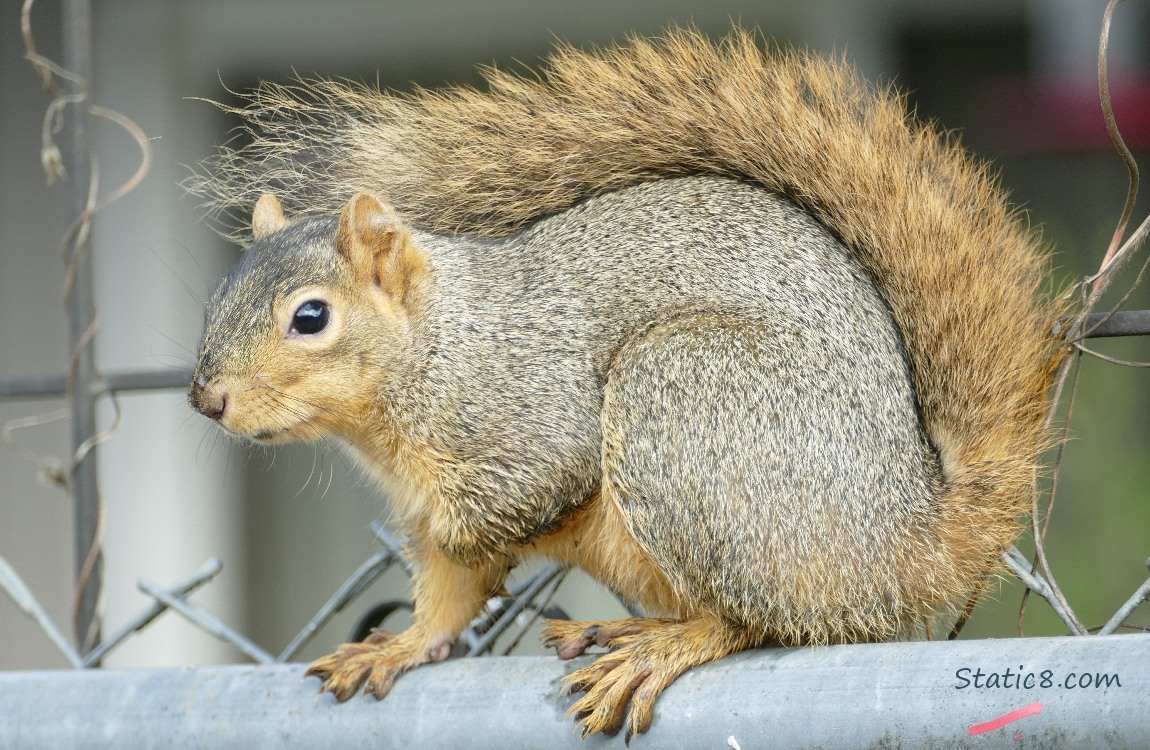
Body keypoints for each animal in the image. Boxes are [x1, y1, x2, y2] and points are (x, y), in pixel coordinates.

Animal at [186, 26, 1058, 740]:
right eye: (215, 298)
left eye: (310, 317)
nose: (206, 399)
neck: (434, 350)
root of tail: (907, 540)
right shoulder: (425, 511)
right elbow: (444, 598)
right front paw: (397, 645)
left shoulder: (525, 412)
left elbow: (529, 495)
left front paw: (508, 540)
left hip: (687, 405)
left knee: (773, 621)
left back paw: (663, 643)